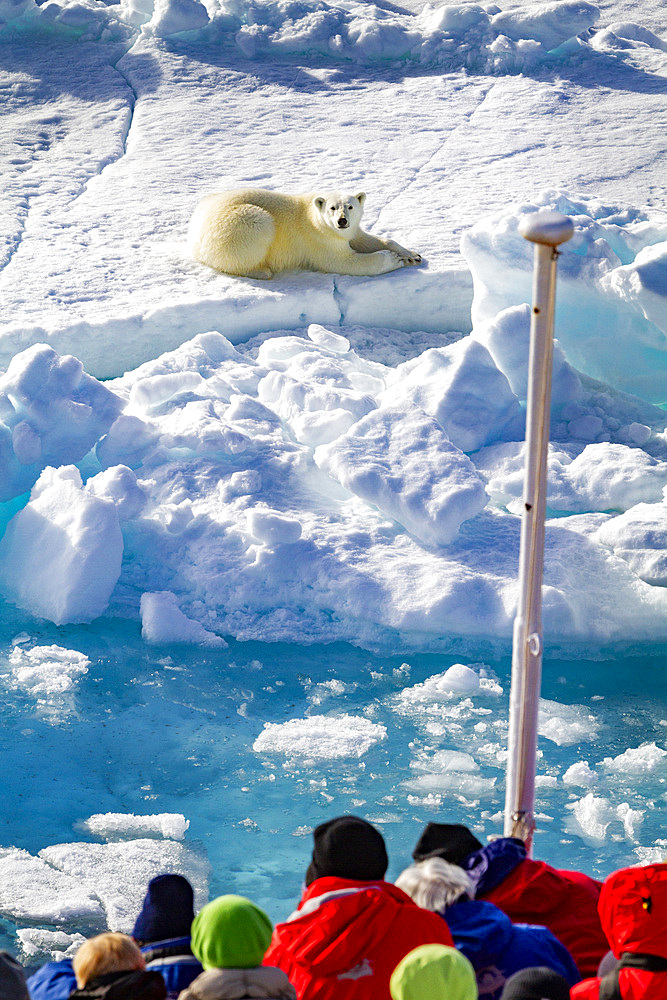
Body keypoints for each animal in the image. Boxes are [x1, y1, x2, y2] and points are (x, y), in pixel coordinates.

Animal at [187, 188, 422, 280]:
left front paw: (411, 255)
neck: (314, 217)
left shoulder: (350, 231)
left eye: (350, 206)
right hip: (240, 223)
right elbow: (344, 262)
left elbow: (364, 239)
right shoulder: (319, 240)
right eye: (332, 208)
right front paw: (394, 259)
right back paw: (262, 270)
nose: (342, 221)